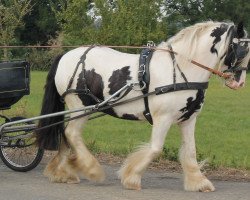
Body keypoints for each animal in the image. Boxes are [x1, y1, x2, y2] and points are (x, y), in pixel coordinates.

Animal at [36, 20, 249, 192]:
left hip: (77, 110)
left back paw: (62, 172)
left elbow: (190, 150)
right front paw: (131, 178)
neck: (181, 69)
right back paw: (91, 169)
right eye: (242, 50)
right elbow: (155, 148)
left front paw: (199, 182)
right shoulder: (163, 118)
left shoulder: (188, 119)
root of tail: (66, 55)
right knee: (71, 133)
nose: (239, 83)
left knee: (65, 133)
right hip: (80, 106)